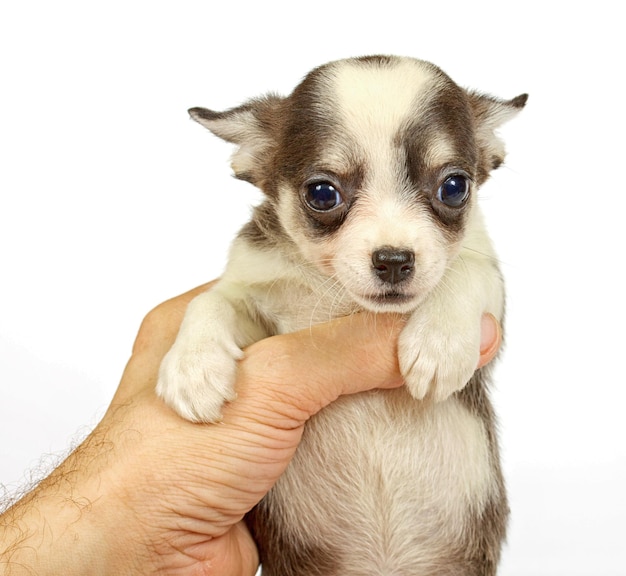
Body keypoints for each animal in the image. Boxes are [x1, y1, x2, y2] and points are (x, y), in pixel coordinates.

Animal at [156, 55, 520, 576]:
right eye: (323, 194)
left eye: (454, 188)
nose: (394, 260)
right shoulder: (256, 294)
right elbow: (211, 300)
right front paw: (193, 369)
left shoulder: (491, 290)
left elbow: (464, 271)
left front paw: (439, 345)